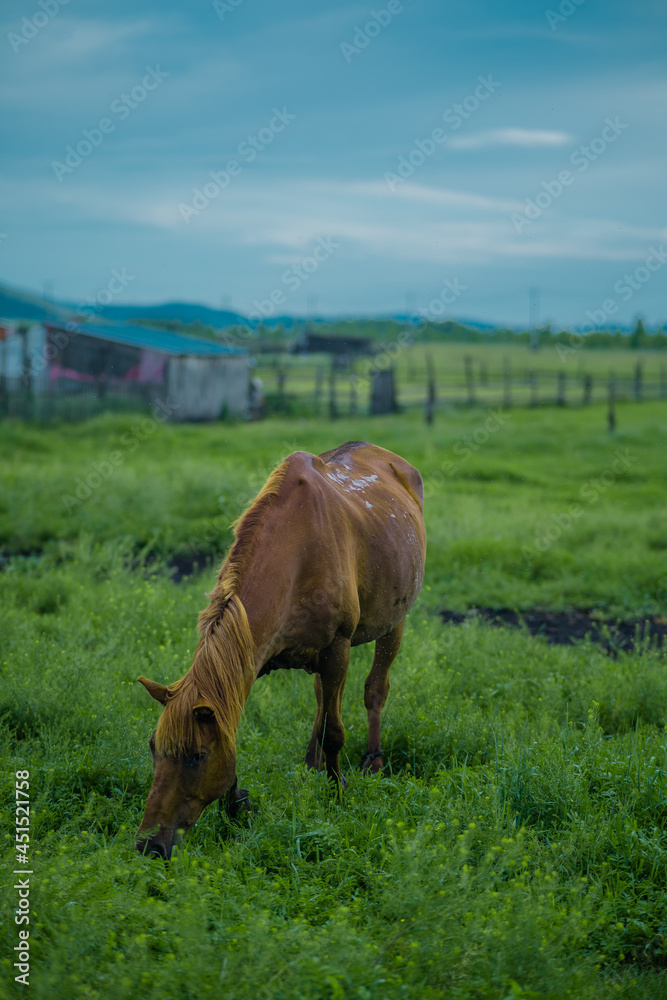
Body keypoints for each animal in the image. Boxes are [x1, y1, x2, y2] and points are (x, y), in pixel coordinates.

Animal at [135, 441, 426, 858]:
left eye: (197, 757)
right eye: (153, 748)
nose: (149, 845)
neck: (298, 551)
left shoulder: (338, 647)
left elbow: (335, 731)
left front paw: (338, 794)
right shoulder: (252, 653)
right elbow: (234, 723)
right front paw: (236, 805)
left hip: (393, 624)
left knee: (374, 690)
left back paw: (373, 761)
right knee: (323, 696)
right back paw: (312, 762)